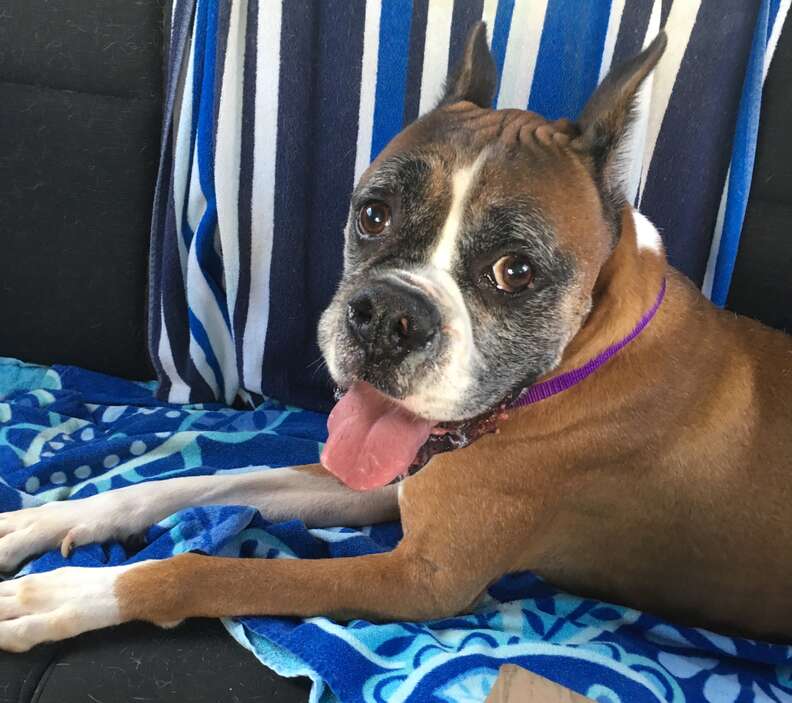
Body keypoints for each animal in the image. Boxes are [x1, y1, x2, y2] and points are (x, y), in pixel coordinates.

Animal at [1, 23, 792, 656]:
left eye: (516, 270)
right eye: (373, 214)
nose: (387, 316)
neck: (587, 356)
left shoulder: (419, 579)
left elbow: (209, 570)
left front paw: (63, 596)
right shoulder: (376, 487)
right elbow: (195, 483)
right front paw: (42, 522)